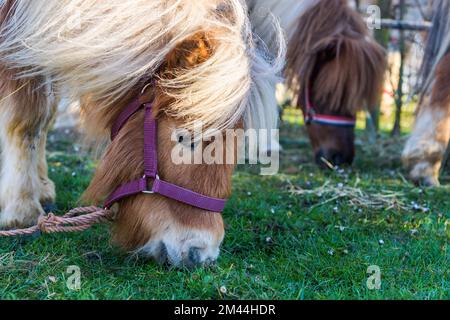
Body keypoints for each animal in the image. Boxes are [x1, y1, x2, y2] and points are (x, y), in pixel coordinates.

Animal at [0, 0, 282, 268]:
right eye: (185, 139)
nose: (202, 253)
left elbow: (46, 118)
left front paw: (41, 188)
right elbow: (30, 119)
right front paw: (22, 210)